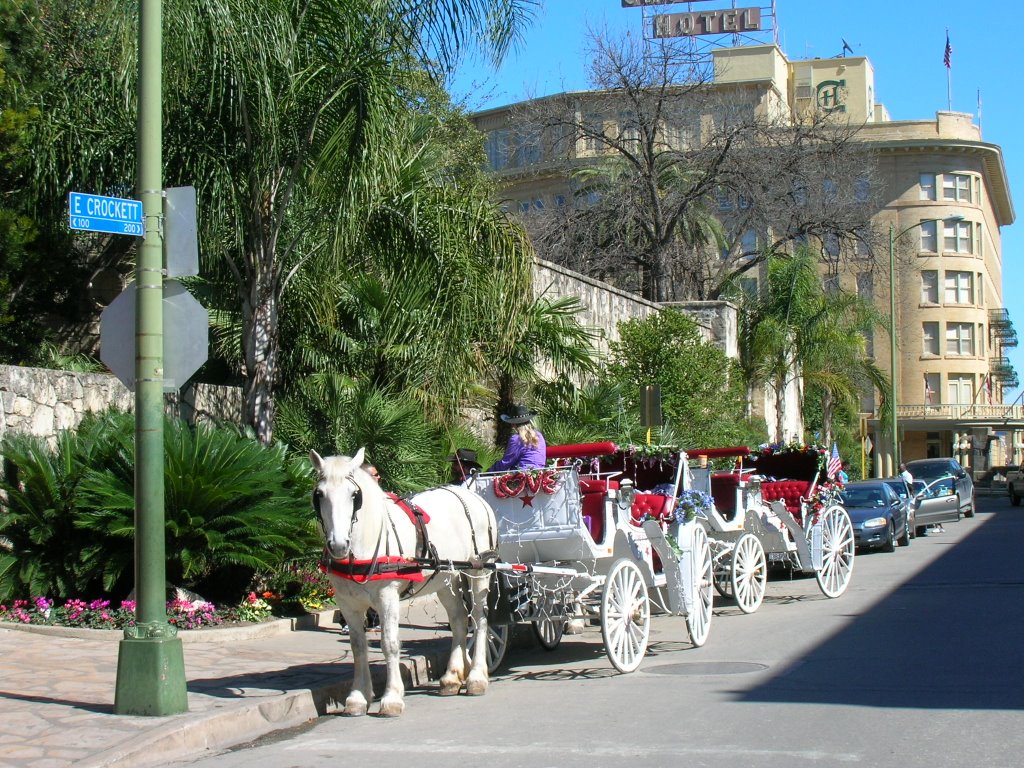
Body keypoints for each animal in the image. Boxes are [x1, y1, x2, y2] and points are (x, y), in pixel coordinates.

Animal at [309, 448, 497, 720]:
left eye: (355, 495)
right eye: (319, 494)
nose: (338, 545)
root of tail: (471, 495)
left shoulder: (387, 597)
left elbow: (389, 643)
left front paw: (392, 698)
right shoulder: (347, 603)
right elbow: (358, 646)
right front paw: (358, 697)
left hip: (480, 571)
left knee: (480, 619)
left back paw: (476, 678)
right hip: (446, 579)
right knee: (459, 621)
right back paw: (451, 677)